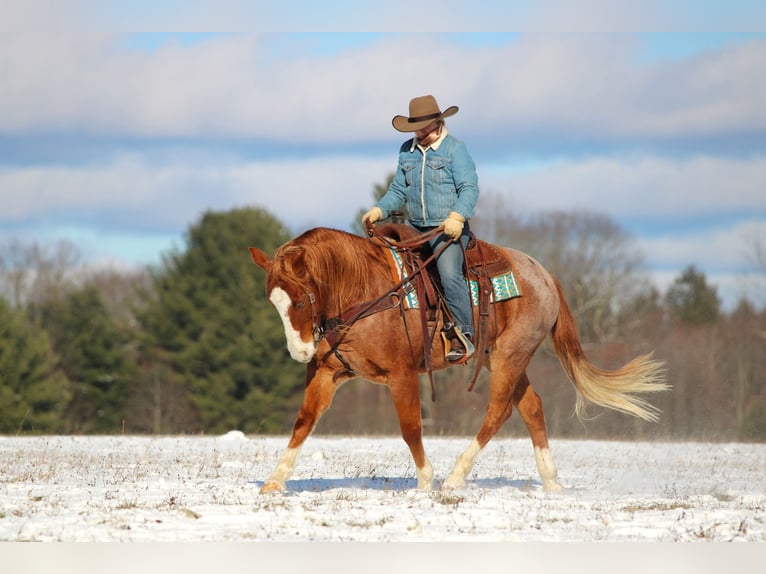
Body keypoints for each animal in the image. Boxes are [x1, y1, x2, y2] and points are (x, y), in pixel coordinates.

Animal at [249, 226, 667, 493]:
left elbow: (410, 428)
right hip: (505, 358)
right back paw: (551, 481)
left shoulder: (402, 374)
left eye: (300, 300)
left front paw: (425, 480)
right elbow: (304, 422)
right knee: (532, 407)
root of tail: (545, 276)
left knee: (498, 411)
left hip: (510, 356)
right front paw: (275, 481)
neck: (365, 290)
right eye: (273, 301)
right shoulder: (327, 372)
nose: (300, 351)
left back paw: (454, 476)